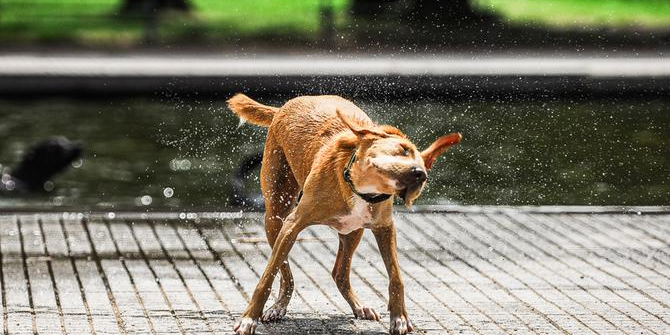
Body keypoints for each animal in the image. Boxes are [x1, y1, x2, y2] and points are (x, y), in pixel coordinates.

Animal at [227, 94, 462, 335]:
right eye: (403, 149)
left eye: (423, 164)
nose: (420, 174)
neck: (359, 188)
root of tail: (285, 106)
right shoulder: (292, 225)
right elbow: (266, 278)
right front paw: (248, 319)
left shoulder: (385, 228)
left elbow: (396, 277)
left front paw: (399, 318)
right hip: (275, 218)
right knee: (285, 272)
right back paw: (278, 307)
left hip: (352, 231)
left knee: (338, 273)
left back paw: (359, 306)